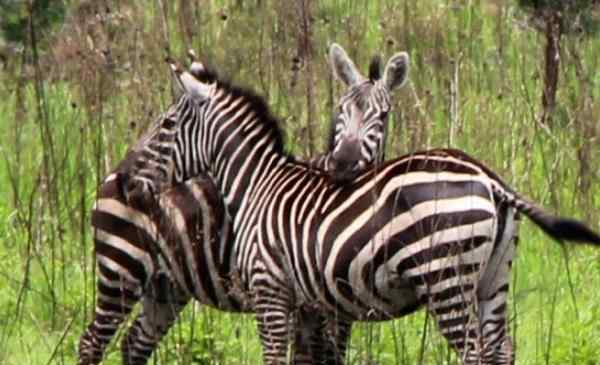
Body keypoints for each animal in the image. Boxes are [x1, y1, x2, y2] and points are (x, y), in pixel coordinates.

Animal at [77, 43, 408, 364]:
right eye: (340, 110)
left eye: (383, 115)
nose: (344, 163)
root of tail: (113, 174)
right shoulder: (301, 303)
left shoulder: (337, 308)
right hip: (122, 270)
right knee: (91, 342)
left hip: (166, 287)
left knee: (133, 344)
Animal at [126, 55, 600, 362]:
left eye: (166, 125)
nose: (126, 181)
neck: (257, 183)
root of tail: (488, 177)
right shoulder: (311, 304)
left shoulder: (271, 291)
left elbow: (276, 357)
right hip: (493, 279)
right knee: (501, 349)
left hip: (445, 277)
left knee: (475, 353)